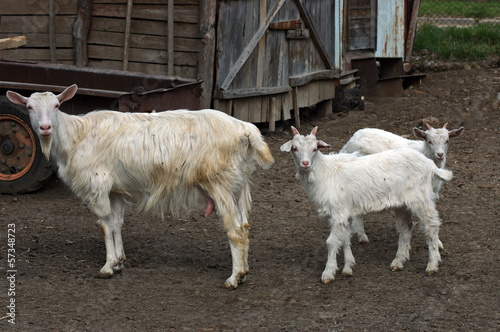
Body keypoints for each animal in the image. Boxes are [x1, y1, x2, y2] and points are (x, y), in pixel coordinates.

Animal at [6, 85, 274, 288]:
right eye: (29, 107)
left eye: (57, 106)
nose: (45, 128)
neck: (75, 136)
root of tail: (246, 130)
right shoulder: (114, 190)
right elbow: (116, 224)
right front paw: (119, 261)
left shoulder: (98, 184)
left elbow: (104, 225)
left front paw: (107, 267)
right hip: (238, 185)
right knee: (245, 226)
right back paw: (244, 271)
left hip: (219, 183)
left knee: (235, 230)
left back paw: (233, 278)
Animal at [282, 126, 454, 282]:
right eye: (294, 148)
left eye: (314, 149)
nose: (305, 163)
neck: (324, 172)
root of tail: (429, 163)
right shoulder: (342, 212)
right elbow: (345, 238)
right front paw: (348, 266)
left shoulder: (338, 211)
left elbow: (331, 242)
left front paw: (328, 273)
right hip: (401, 204)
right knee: (406, 228)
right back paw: (398, 262)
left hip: (421, 198)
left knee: (431, 227)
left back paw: (432, 265)